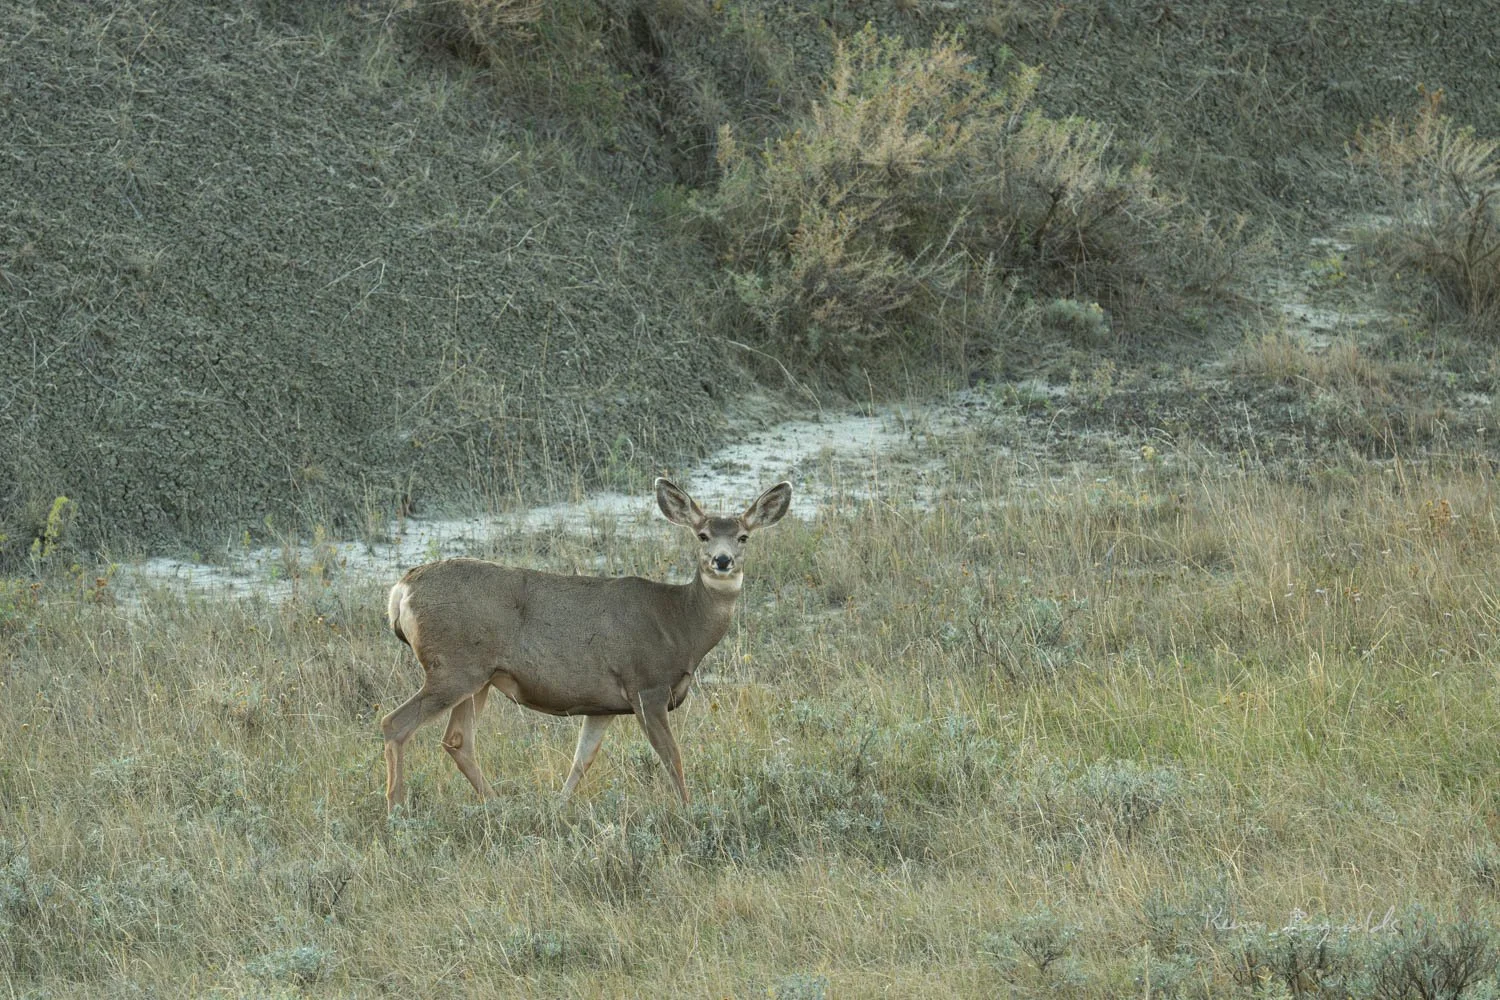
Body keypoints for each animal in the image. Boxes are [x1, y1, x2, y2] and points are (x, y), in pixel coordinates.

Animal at [380, 477, 792, 813]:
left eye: (743, 536)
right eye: (702, 534)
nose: (722, 560)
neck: (679, 626)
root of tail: (402, 588)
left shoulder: (602, 704)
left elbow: (582, 760)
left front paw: (558, 807)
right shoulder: (646, 685)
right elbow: (672, 757)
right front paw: (689, 811)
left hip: (479, 677)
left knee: (457, 740)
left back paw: (497, 805)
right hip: (452, 665)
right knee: (394, 723)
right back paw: (397, 810)